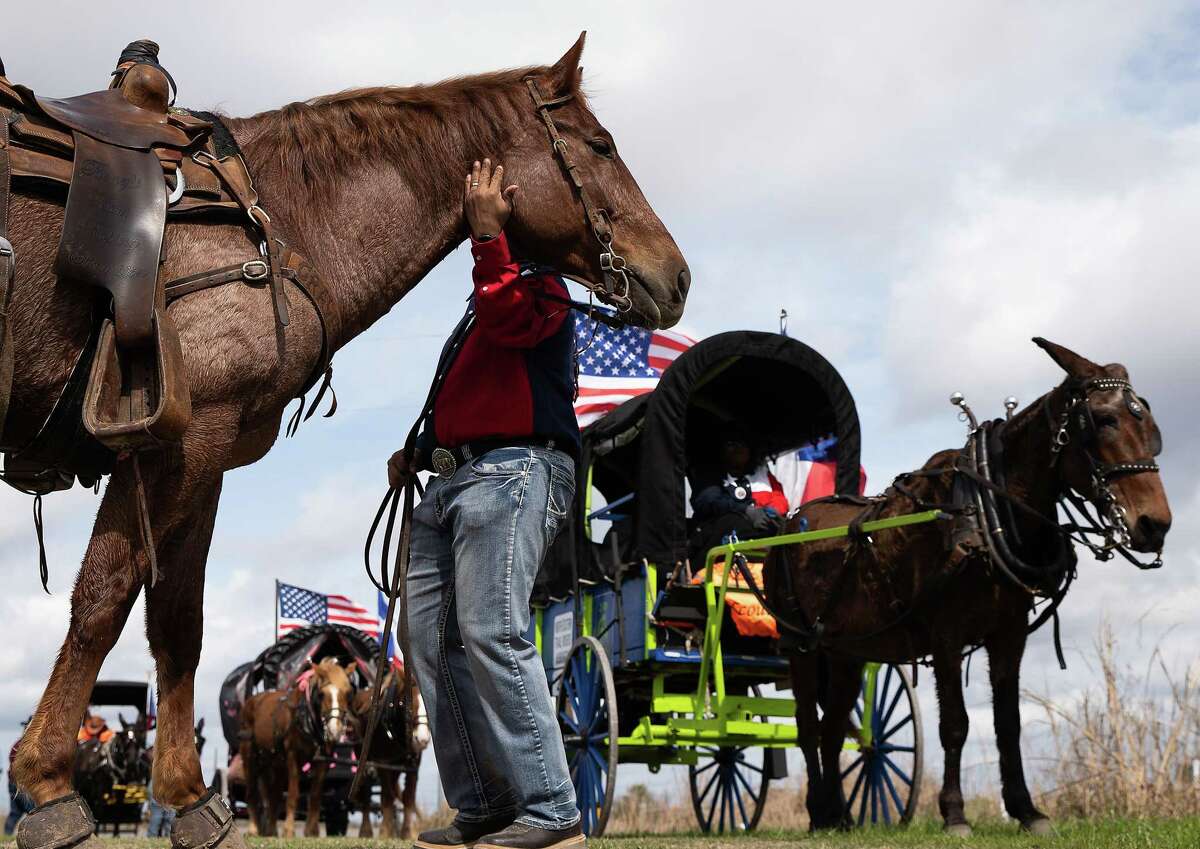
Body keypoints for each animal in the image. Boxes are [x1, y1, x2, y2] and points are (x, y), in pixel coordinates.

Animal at [236, 657, 352, 834]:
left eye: (347, 693)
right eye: (322, 694)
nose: (334, 730)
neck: (306, 717)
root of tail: (253, 700)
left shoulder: (323, 761)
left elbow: (315, 795)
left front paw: (311, 832)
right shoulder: (293, 756)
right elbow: (293, 793)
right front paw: (289, 830)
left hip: (275, 763)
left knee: (273, 795)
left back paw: (271, 830)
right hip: (249, 755)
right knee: (252, 793)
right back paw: (254, 828)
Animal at [350, 666, 432, 839]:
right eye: (405, 703)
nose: (421, 739)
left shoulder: (413, 765)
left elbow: (408, 797)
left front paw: (407, 832)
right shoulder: (383, 763)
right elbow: (387, 796)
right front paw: (384, 832)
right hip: (364, 759)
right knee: (366, 793)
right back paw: (366, 830)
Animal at [768, 338, 1171, 834]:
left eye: (1147, 421)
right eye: (1103, 420)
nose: (1155, 525)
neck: (982, 512)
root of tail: (790, 520)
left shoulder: (1008, 634)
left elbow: (1008, 723)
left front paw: (1026, 809)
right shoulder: (945, 637)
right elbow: (955, 725)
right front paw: (954, 813)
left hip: (845, 652)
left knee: (831, 729)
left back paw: (839, 815)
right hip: (800, 646)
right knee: (808, 728)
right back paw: (817, 812)